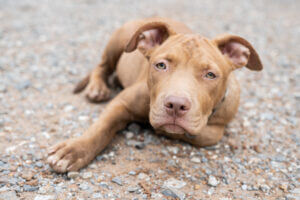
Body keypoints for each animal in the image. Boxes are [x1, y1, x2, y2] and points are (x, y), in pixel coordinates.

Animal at [47, 18, 262, 173]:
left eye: (210, 75)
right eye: (161, 65)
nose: (176, 105)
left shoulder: (216, 127)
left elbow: (203, 134)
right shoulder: (121, 102)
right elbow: (101, 128)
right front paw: (73, 151)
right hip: (118, 43)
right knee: (103, 65)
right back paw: (98, 88)